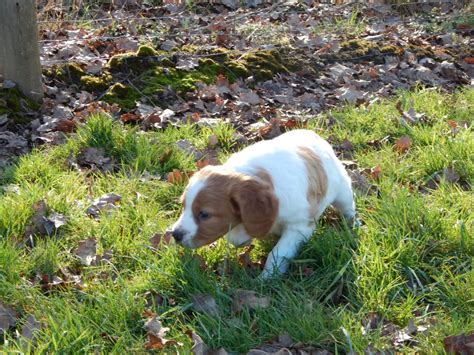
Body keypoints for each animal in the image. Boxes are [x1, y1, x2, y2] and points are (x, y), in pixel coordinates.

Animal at [171, 129, 356, 280]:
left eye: (204, 214)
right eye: (184, 206)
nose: (174, 235)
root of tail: (312, 133)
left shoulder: (299, 226)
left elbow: (278, 252)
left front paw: (267, 277)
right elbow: (237, 235)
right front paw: (243, 236)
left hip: (342, 191)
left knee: (349, 208)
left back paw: (354, 225)